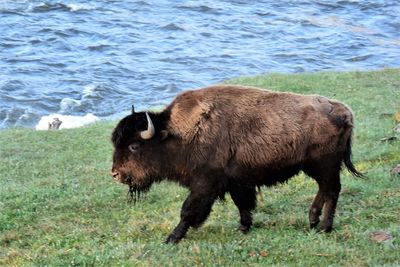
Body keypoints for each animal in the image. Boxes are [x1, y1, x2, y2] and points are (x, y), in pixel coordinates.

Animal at [109, 85, 362, 244]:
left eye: (134, 146)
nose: (115, 174)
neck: (176, 134)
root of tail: (344, 112)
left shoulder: (205, 184)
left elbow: (188, 210)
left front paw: (172, 238)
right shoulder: (236, 182)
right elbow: (243, 204)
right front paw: (243, 227)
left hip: (325, 166)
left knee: (332, 191)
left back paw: (324, 227)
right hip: (313, 167)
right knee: (325, 190)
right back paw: (312, 220)